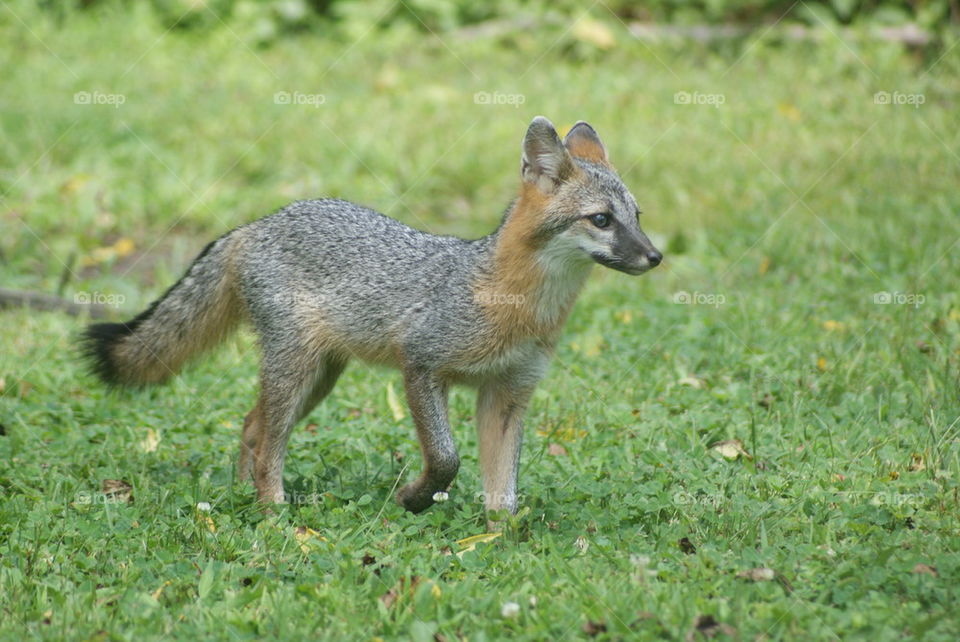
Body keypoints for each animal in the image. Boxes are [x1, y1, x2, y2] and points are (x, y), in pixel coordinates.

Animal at [81, 116, 662, 523]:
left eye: (637, 217)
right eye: (601, 220)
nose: (655, 257)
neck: (512, 301)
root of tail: (256, 223)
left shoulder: (508, 393)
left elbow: (503, 494)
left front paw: (496, 542)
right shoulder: (421, 364)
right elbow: (447, 459)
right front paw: (414, 499)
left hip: (320, 378)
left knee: (252, 426)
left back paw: (246, 495)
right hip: (297, 372)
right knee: (268, 443)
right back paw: (274, 513)